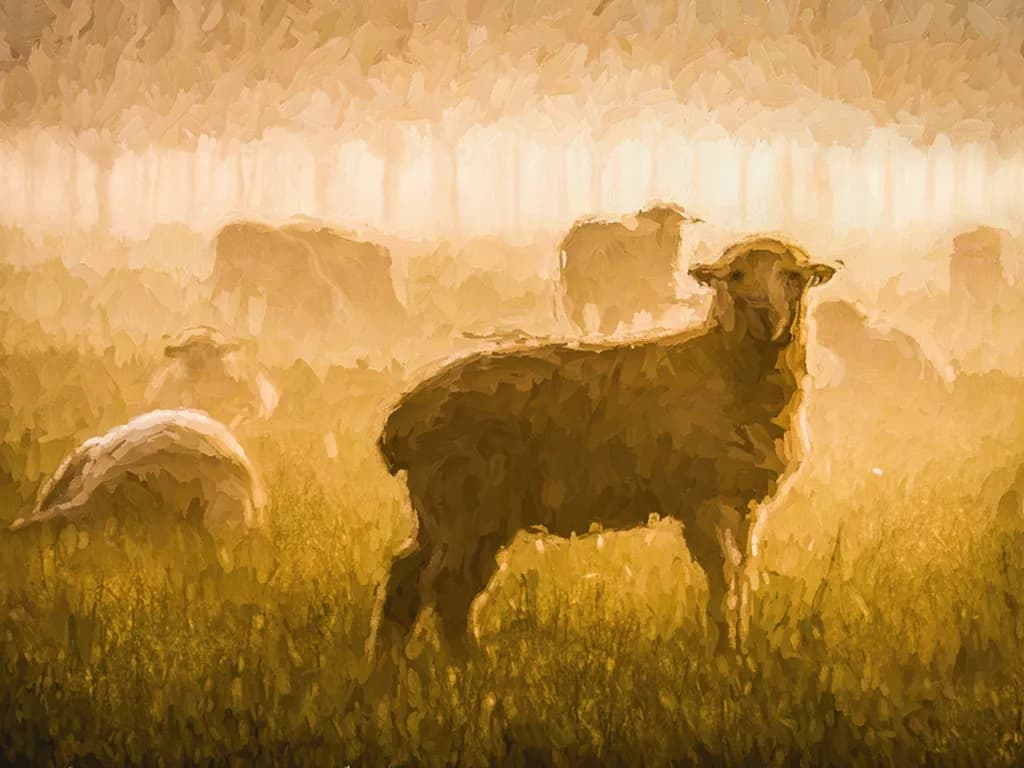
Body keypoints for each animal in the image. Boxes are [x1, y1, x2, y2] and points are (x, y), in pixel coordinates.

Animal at [373, 235, 837, 660]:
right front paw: (726, 659)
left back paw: (387, 670)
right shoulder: (705, 500)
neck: (724, 366)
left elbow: (740, 576)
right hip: (467, 505)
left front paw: (738, 655)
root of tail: (401, 421)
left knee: (405, 579)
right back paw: (469, 668)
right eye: (737, 276)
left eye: (792, 277)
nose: (766, 315)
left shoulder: (744, 505)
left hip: (444, 513)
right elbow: (723, 579)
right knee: (446, 588)